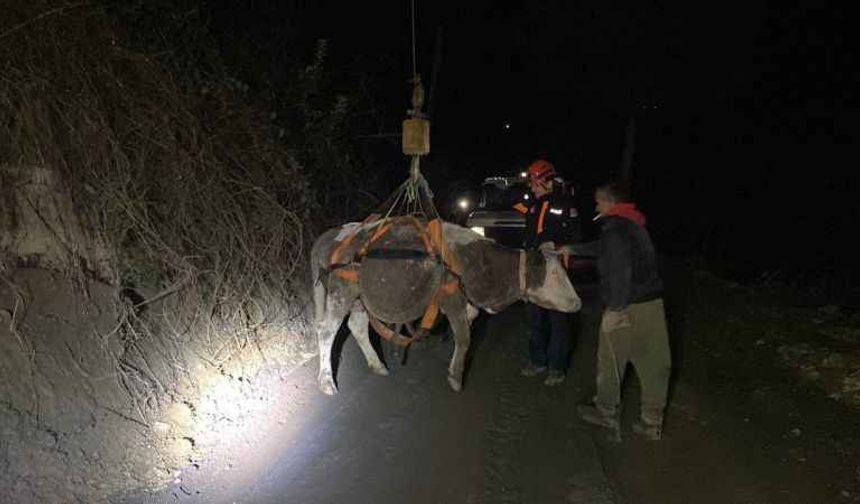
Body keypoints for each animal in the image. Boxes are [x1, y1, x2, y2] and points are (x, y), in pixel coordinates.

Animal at [310, 219, 576, 396]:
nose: (577, 302)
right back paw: (326, 382)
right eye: (554, 273)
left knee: (357, 326)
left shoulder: (468, 306)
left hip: (360, 299)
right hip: (341, 292)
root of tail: (330, 235)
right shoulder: (453, 300)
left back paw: (378, 365)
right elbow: (464, 338)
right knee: (326, 330)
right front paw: (456, 378)